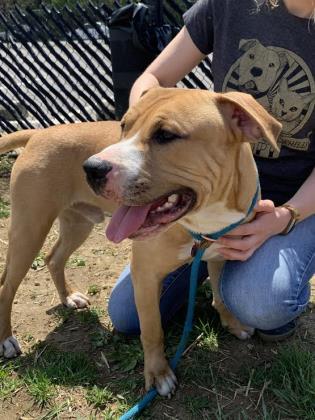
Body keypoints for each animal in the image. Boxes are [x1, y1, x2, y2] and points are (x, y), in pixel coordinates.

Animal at [0, 86, 282, 398]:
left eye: (166, 135)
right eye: (124, 125)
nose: (92, 168)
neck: (205, 219)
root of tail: (39, 133)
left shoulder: (221, 254)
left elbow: (221, 295)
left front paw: (232, 323)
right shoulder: (145, 275)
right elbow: (151, 329)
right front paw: (158, 375)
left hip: (77, 224)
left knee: (54, 258)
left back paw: (68, 297)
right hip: (30, 228)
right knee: (6, 286)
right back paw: (7, 340)